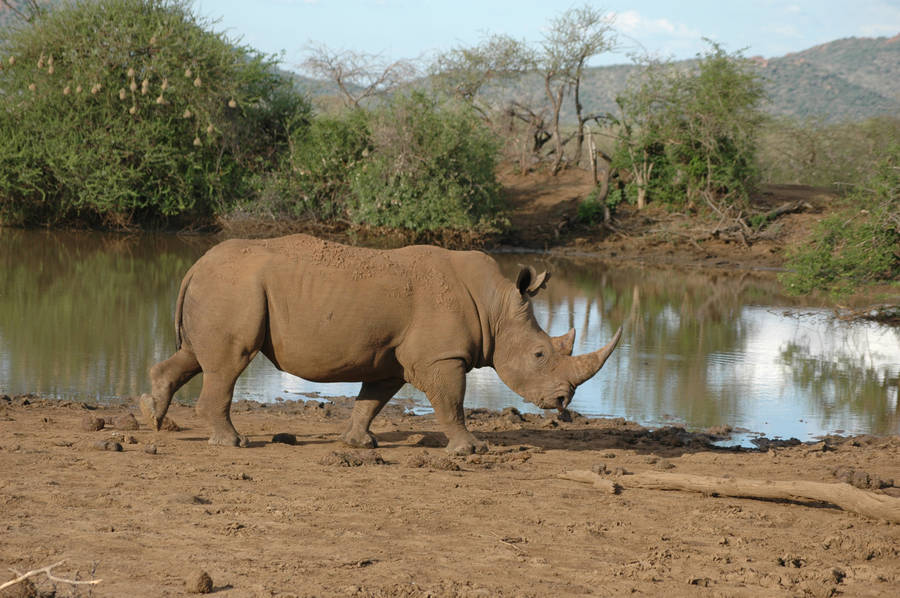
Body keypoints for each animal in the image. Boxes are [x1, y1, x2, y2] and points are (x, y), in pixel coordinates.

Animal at [141, 234, 624, 454]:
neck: (496, 306)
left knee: (198, 356)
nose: (563, 401)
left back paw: (154, 419)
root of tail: (196, 264)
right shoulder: (440, 357)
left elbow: (372, 398)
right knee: (228, 361)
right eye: (540, 354)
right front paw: (470, 449)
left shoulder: (393, 357)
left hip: (224, 288)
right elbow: (452, 403)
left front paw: (360, 444)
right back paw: (232, 444)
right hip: (235, 289)